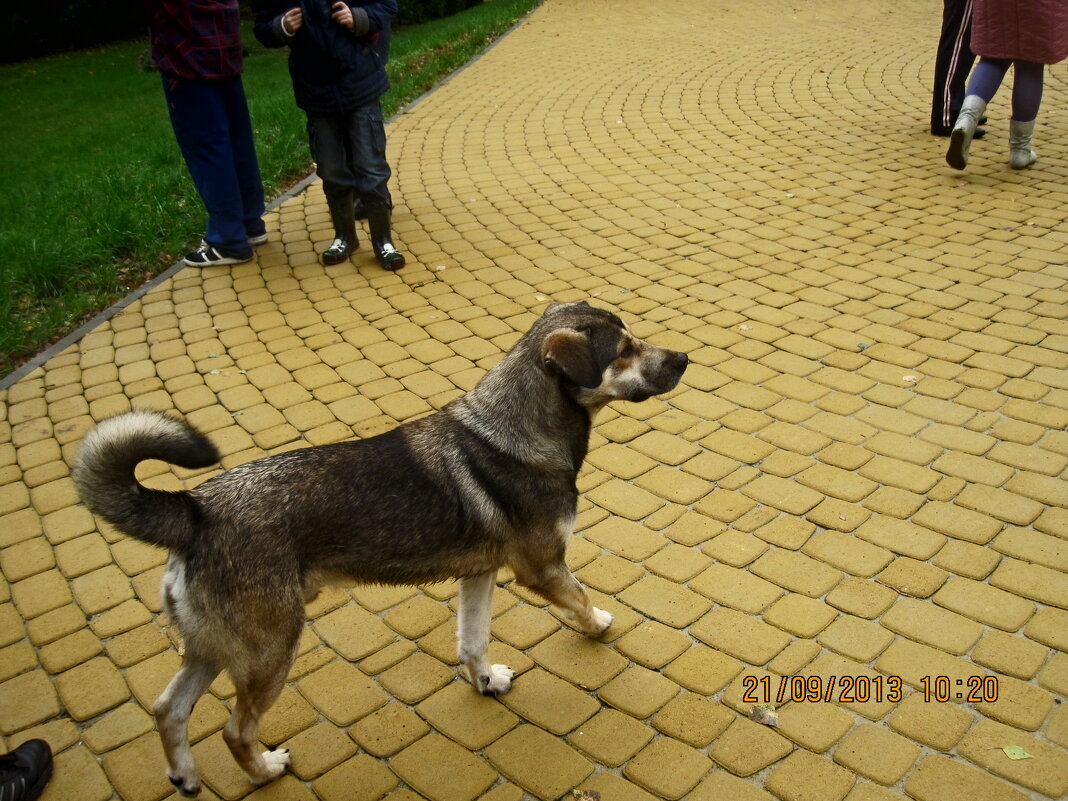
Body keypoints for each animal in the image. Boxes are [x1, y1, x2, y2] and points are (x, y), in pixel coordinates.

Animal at [77, 303, 692, 798]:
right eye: (625, 348)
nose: (685, 357)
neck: (515, 430)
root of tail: (195, 510)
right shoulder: (541, 568)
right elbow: (582, 598)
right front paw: (598, 625)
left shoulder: (480, 575)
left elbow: (472, 643)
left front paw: (485, 682)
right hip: (270, 648)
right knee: (233, 730)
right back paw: (264, 771)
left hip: (216, 646)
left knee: (168, 710)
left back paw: (185, 776)